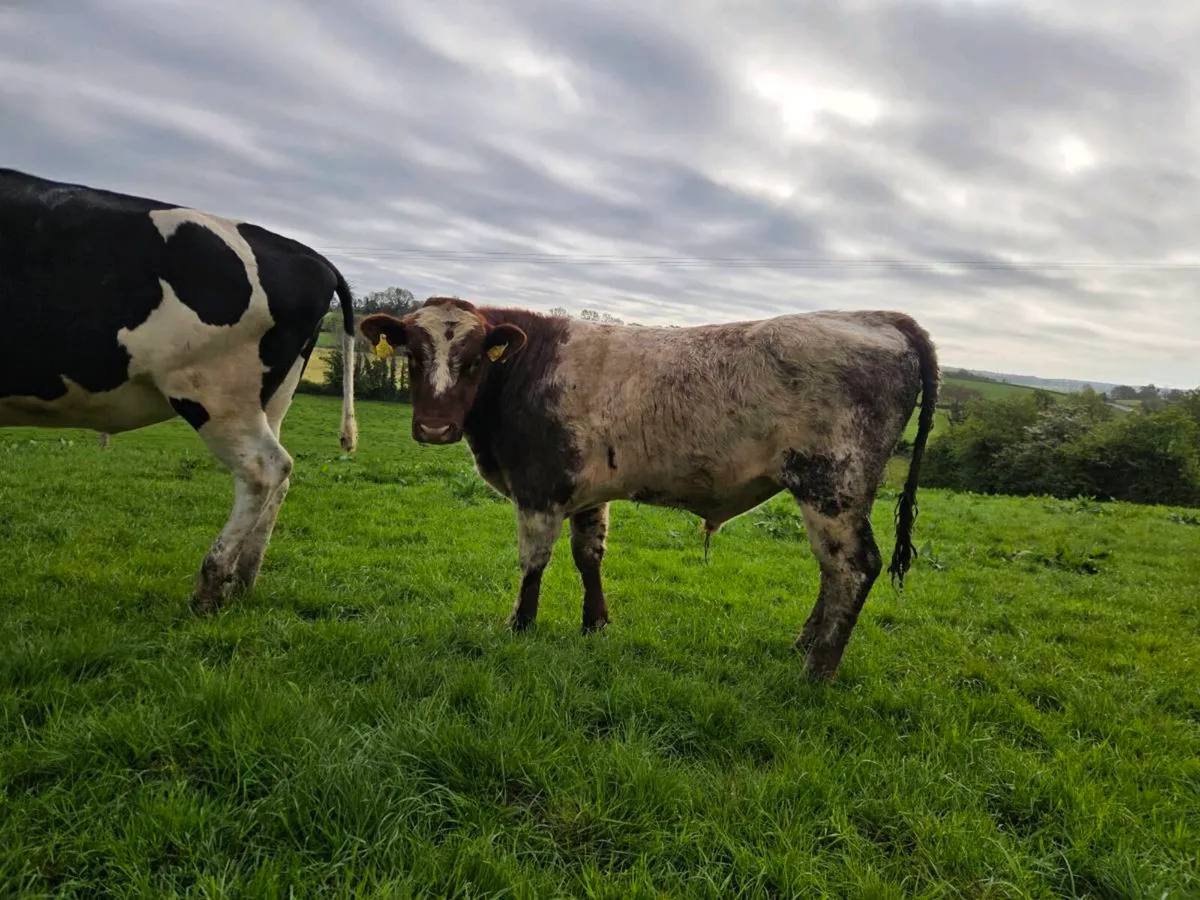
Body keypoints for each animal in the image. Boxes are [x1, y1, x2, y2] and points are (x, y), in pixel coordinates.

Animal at [1, 167, 359, 614]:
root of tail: (314, 257)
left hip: (214, 391)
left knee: (265, 468)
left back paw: (210, 588)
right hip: (272, 398)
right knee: (278, 482)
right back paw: (243, 581)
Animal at [358, 296, 938, 679]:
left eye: (476, 359)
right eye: (412, 356)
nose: (436, 429)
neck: (527, 369)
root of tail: (877, 316)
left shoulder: (538, 488)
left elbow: (533, 563)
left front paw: (519, 625)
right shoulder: (587, 491)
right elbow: (588, 555)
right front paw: (595, 624)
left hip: (832, 485)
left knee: (853, 567)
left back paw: (816, 670)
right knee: (832, 569)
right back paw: (802, 645)